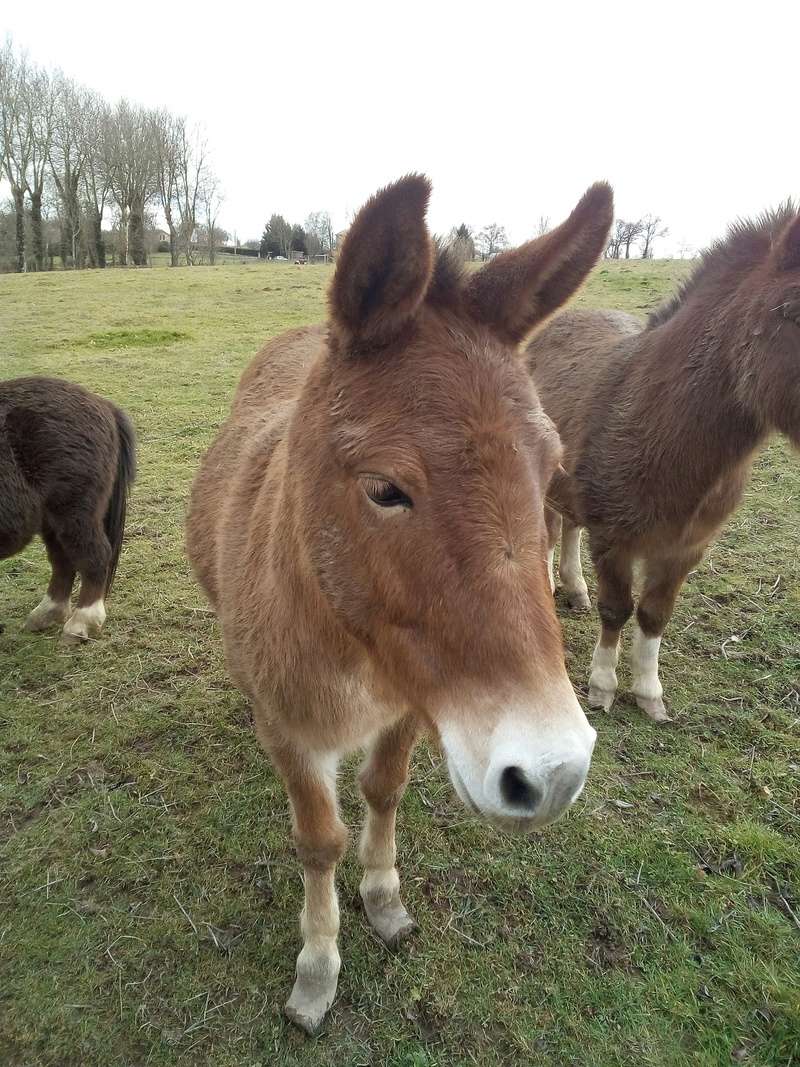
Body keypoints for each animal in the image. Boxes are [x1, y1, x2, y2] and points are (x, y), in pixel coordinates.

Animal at [0, 375, 136, 640]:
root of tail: (103, 404)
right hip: (51, 519)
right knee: (62, 560)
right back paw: (46, 614)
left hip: (73, 513)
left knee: (93, 555)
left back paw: (81, 624)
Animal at [187, 174, 614, 1032]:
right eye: (385, 488)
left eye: (549, 467)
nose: (552, 773)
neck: (347, 642)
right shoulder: (293, 730)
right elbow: (318, 839)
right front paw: (317, 965)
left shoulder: (418, 701)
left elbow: (383, 791)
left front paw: (383, 898)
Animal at [533, 205, 800, 725]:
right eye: (794, 310)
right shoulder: (613, 539)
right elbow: (617, 608)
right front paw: (602, 686)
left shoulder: (685, 548)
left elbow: (654, 615)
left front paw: (649, 693)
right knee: (550, 529)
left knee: (569, 525)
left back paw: (574, 588)